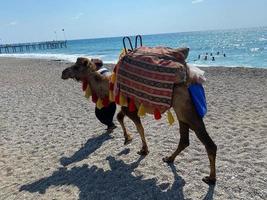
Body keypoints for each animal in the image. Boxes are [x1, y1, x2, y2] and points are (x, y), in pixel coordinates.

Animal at [62, 55, 218, 184]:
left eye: (76, 67)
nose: (63, 72)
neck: (109, 86)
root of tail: (193, 79)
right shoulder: (128, 106)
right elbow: (120, 117)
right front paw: (127, 139)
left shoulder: (130, 108)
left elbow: (139, 127)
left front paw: (143, 150)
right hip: (181, 113)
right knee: (184, 140)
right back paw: (169, 158)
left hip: (187, 111)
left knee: (208, 144)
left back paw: (210, 178)